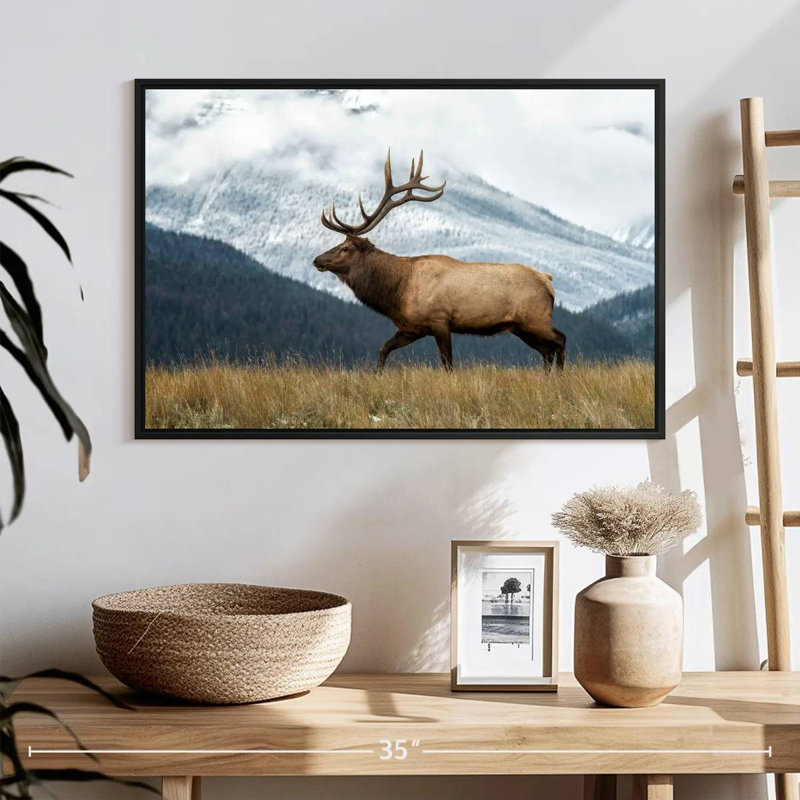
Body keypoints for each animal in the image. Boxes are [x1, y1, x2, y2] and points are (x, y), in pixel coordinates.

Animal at [313, 150, 566, 372]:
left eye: (345, 248)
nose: (317, 260)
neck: (397, 292)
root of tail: (548, 280)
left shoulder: (440, 320)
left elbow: (447, 364)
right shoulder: (412, 327)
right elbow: (383, 349)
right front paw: (377, 375)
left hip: (535, 317)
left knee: (560, 340)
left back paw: (560, 376)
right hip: (520, 326)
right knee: (546, 350)